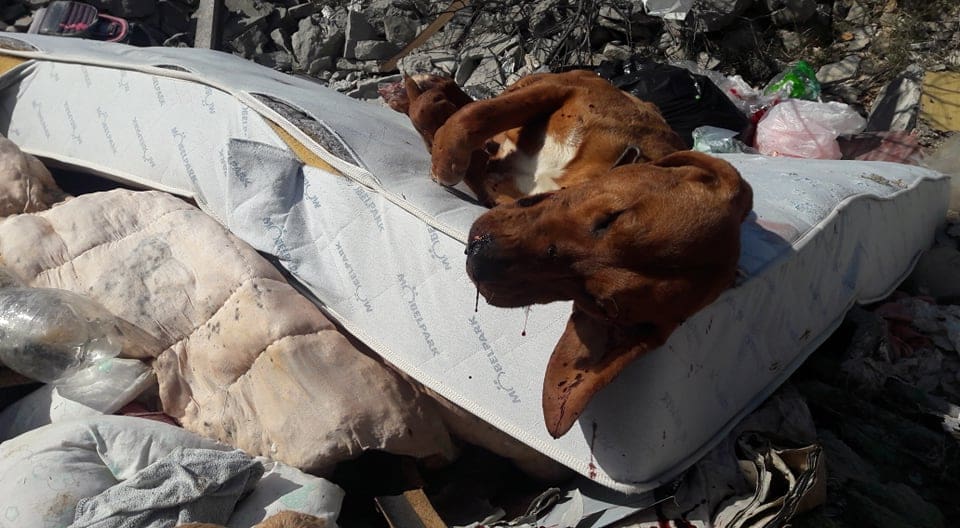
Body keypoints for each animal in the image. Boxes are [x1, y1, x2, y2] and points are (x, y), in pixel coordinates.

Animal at [383, 71, 753, 438]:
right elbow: (474, 116)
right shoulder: (567, 87)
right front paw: (443, 148)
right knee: (477, 104)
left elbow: (466, 141)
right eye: (609, 219)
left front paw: (437, 132)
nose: (478, 258)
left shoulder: (493, 187)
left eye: (597, 302)